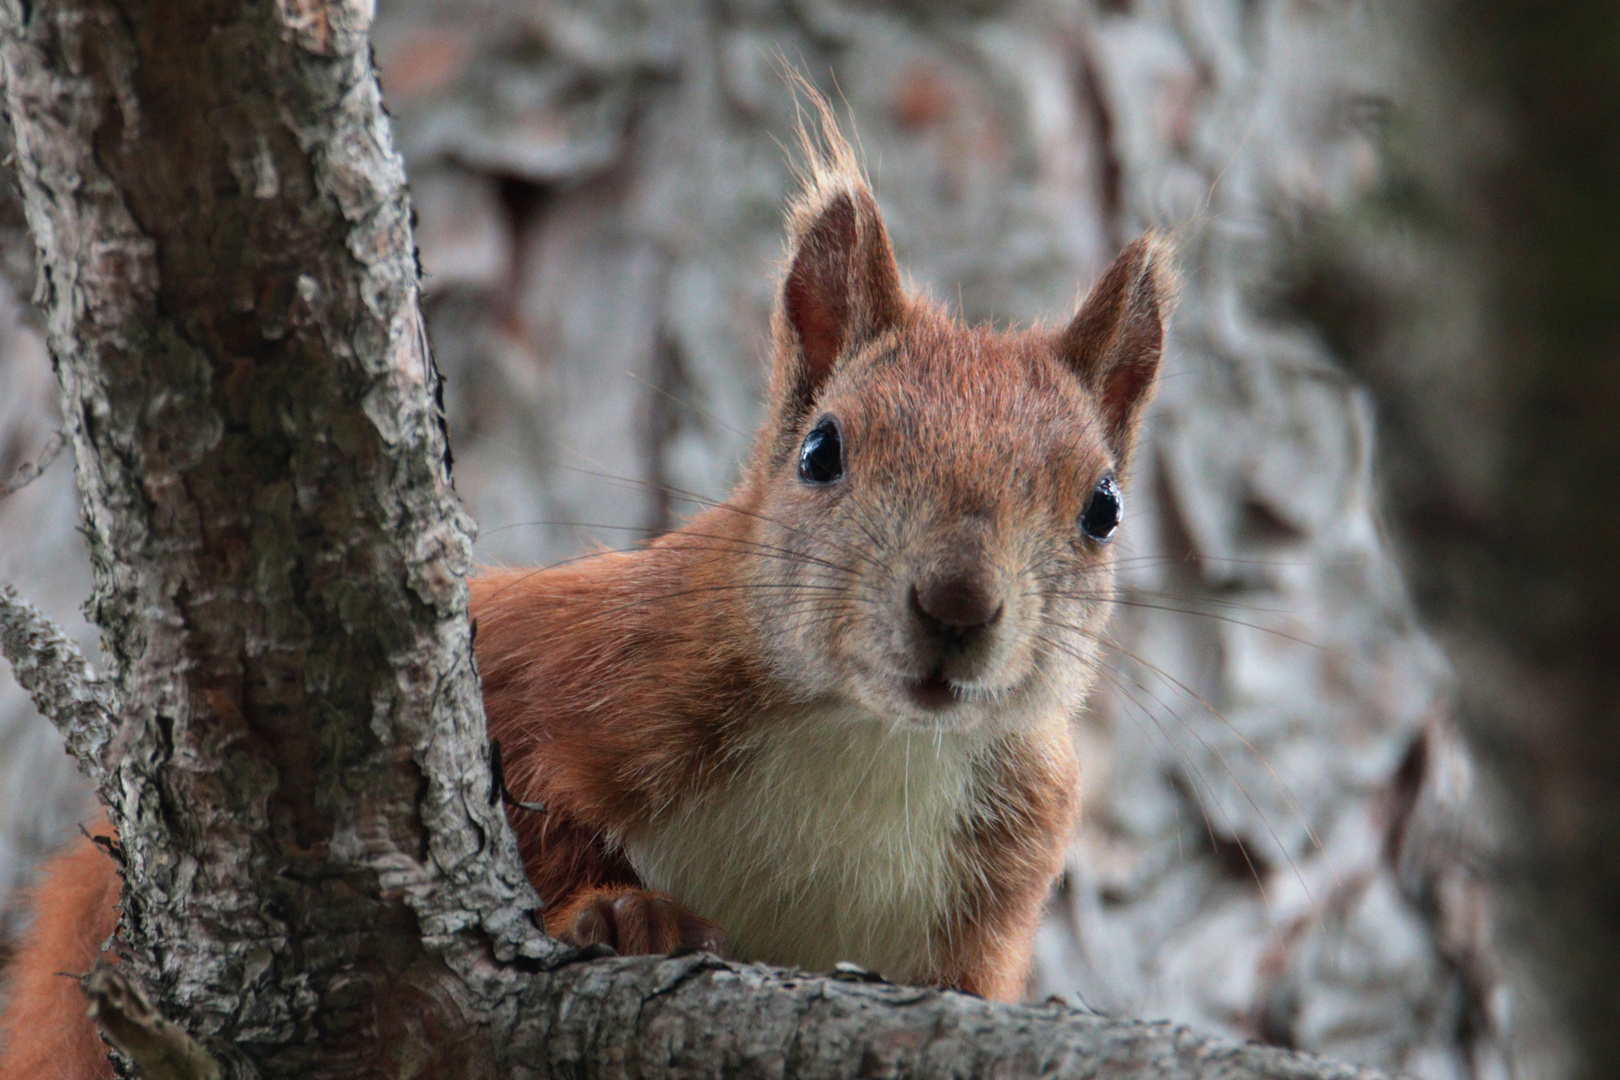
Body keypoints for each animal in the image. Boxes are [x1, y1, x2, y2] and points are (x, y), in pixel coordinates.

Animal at [0, 105, 1172, 1075]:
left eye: (1104, 508)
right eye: (822, 452)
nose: (956, 609)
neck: (870, 742)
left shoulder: (997, 891)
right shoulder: (580, 672)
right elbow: (535, 825)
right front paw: (622, 918)